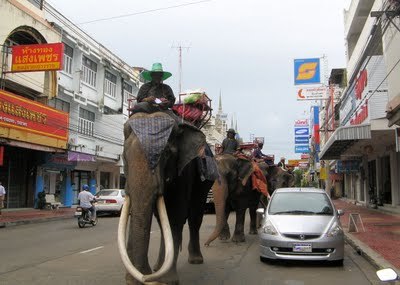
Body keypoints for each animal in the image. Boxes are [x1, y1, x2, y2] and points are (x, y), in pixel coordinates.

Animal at [119, 111, 217, 284]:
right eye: (124, 155)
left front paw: (167, 281)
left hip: (204, 182)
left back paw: (195, 260)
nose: (144, 277)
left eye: (166, 154)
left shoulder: (184, 170)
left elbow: (175, 214)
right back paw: (158, 267)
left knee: (195, 216)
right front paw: (135, 279)